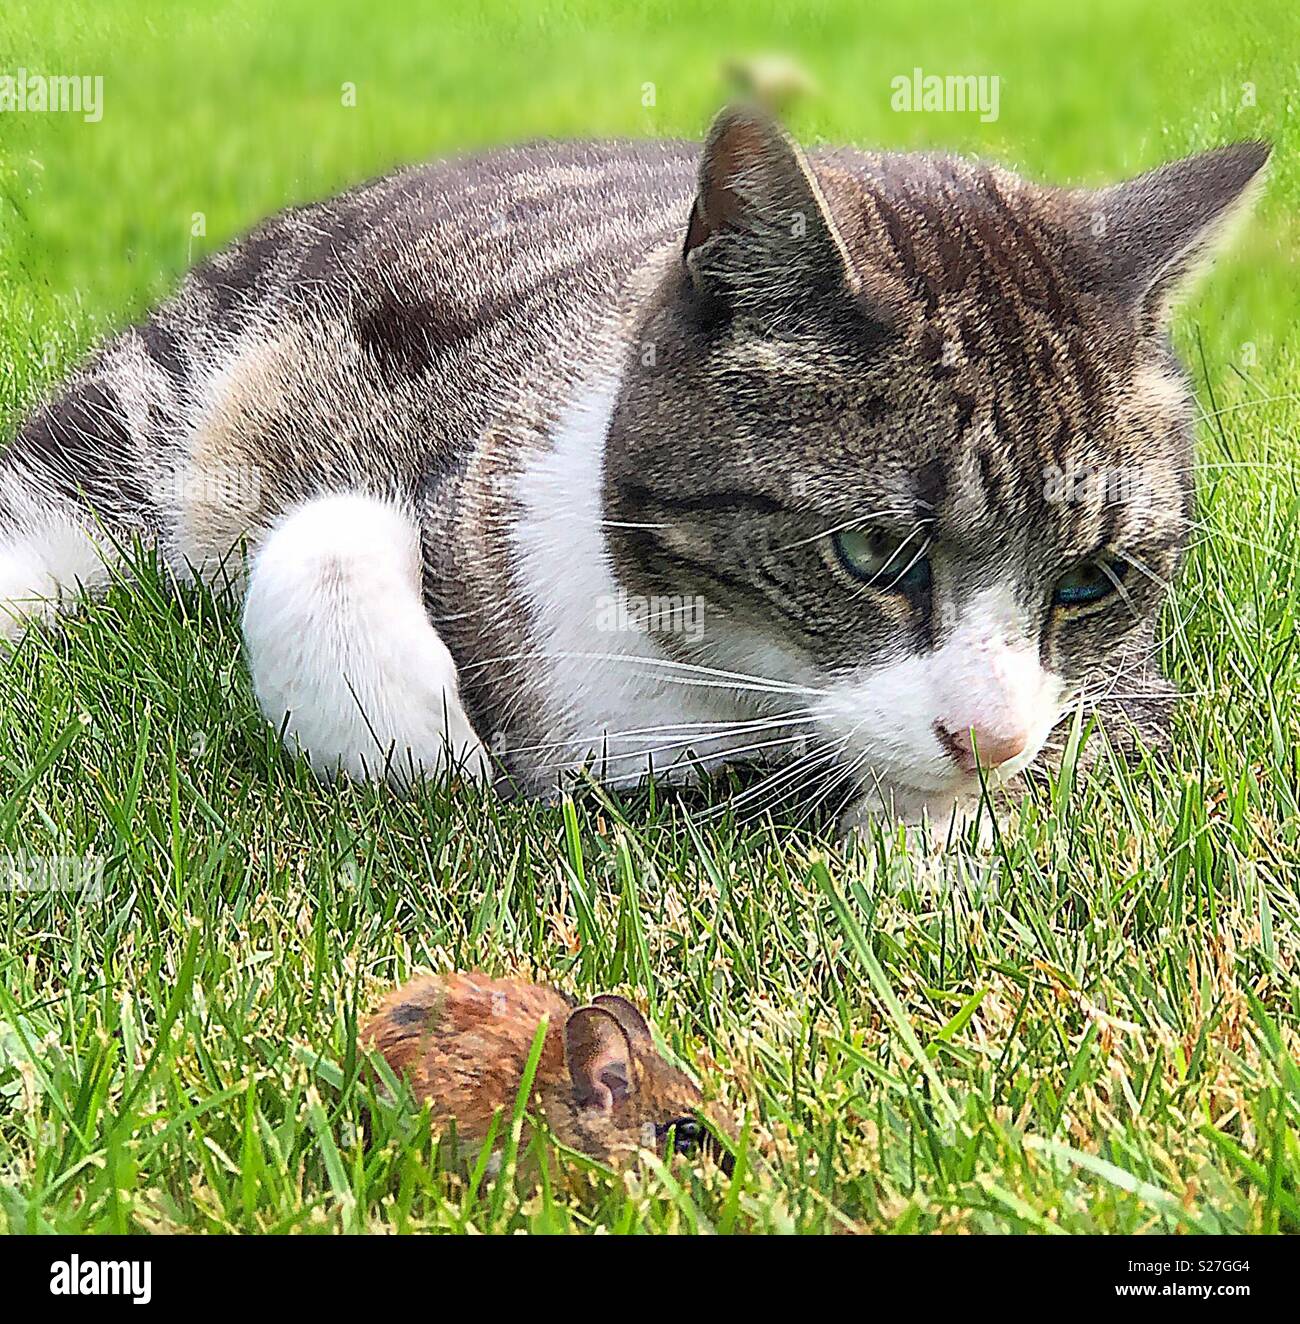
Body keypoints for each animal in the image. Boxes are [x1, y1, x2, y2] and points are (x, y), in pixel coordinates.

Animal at [0, 105, 1265, 826]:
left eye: (1089, 581)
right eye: (872, 552)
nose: (987, 739)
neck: (698, 673)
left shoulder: (1114, 697)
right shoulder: (460, 439)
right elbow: (324, 540)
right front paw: (409, 734)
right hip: (184, 370)